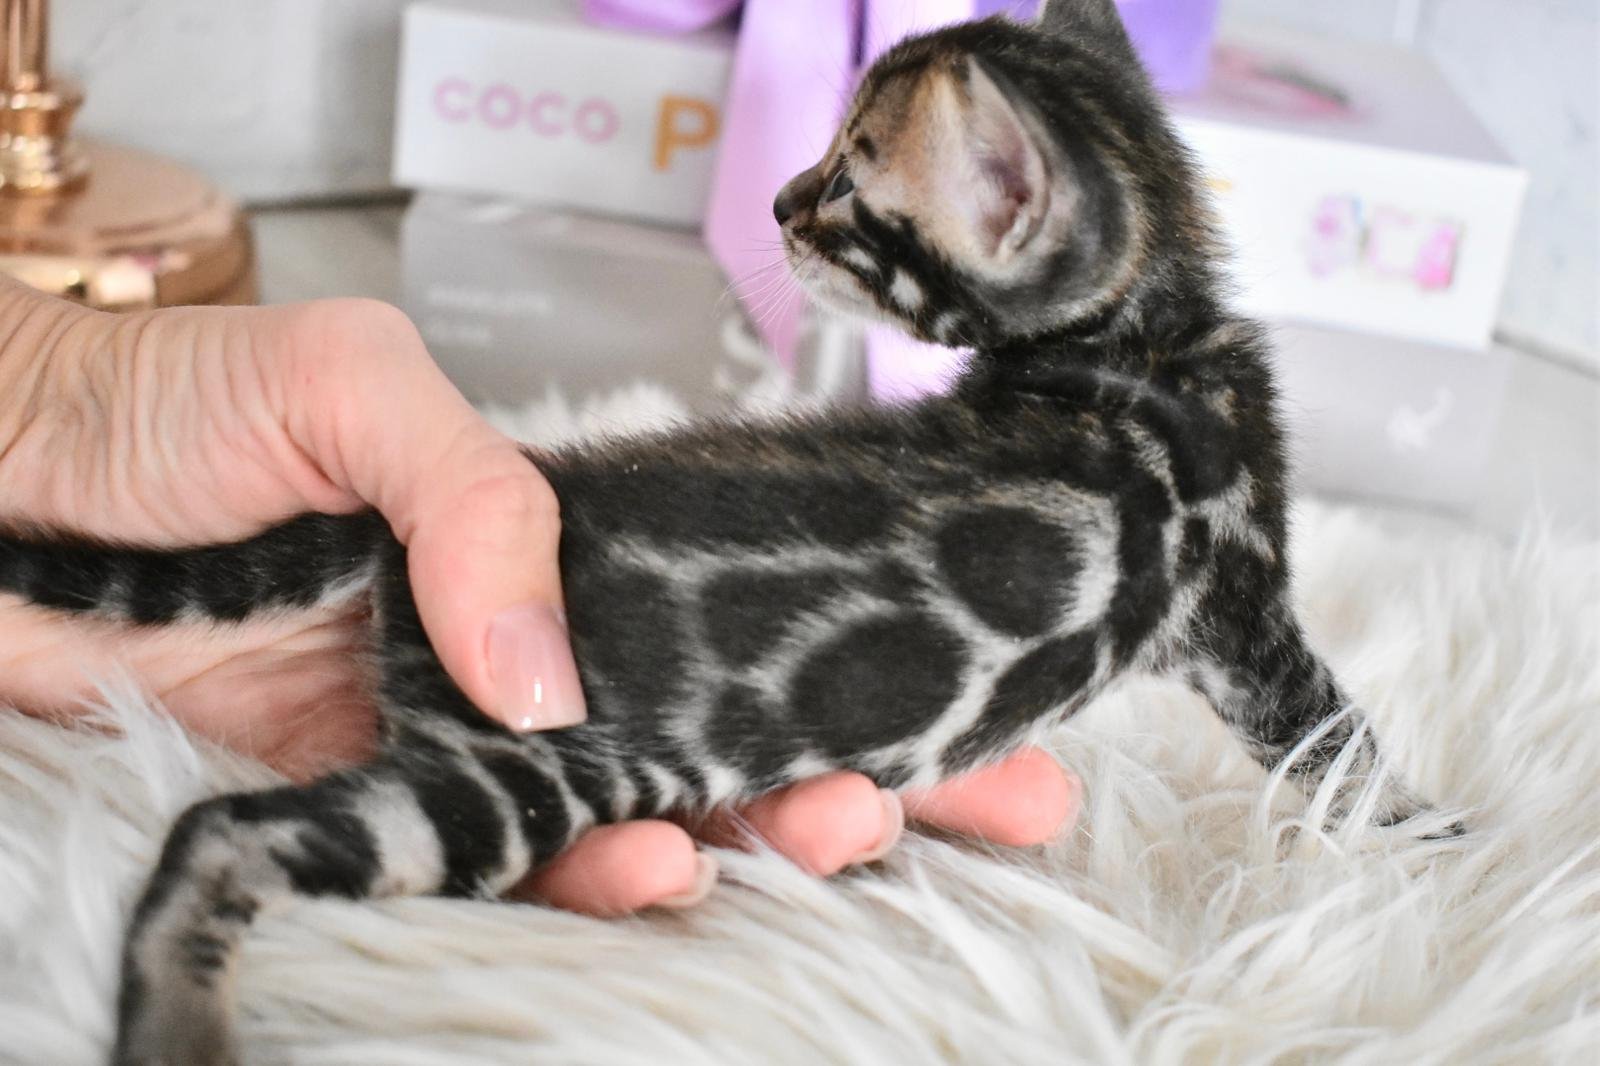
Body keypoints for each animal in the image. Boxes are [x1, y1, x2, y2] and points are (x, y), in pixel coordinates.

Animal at [0, 3, 1440, 1064]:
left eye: (851, 184)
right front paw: (1444, 844)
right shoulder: (1240, 606)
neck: (1140, 342)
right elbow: (1338, 743)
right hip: (513, 776)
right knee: (217, 830)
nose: (782, 202)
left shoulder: (1233, 607)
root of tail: (414, 532)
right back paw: (176, 1030)